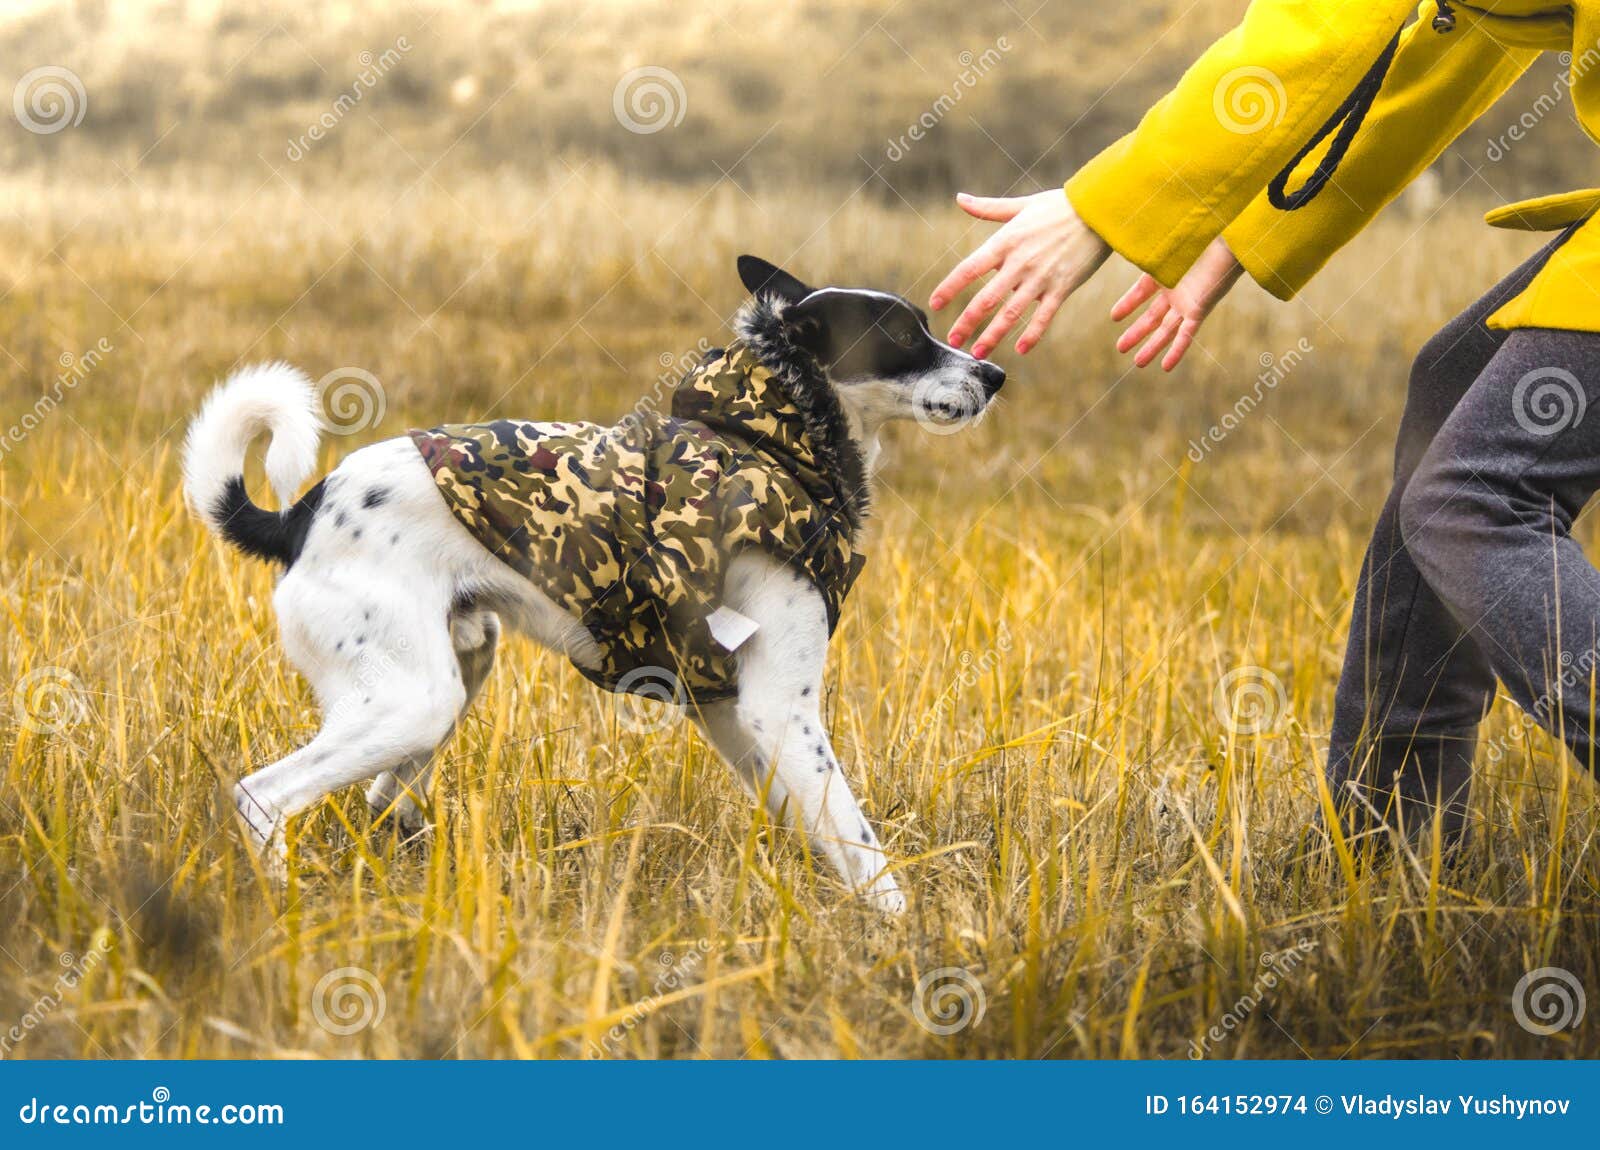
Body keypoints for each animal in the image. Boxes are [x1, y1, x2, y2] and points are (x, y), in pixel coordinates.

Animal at [184, 255, 998, 914]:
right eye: (904, 334)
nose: (994, 374)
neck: (775, 442)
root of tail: (301, 514)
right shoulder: (782, 709)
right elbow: (865, 850)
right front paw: (905, 942)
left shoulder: (731, 711)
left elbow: (818, 828)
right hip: (412, 701)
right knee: (263, 796)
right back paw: (285, 911)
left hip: (456, 670)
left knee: (387, 800)